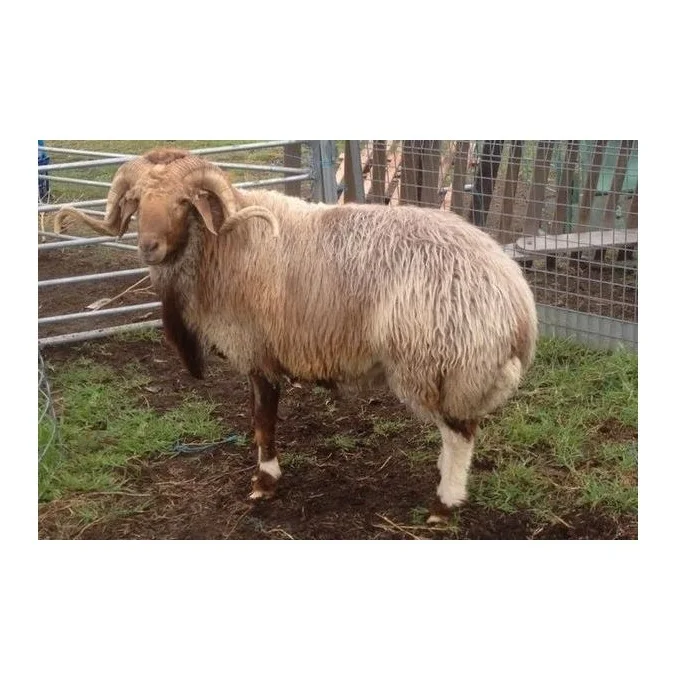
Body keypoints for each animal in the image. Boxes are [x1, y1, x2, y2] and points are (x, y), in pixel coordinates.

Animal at [56, 146, 538, 524]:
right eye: (136, 200)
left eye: (182, 201)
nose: (148, 248)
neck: (222, 244)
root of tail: (517, 301)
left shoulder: (256, 349)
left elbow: (262, 421)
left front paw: (264, 481)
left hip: (438, 362)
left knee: (460, 434)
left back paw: (444, 504)